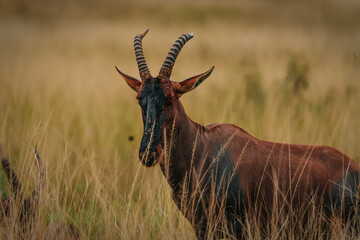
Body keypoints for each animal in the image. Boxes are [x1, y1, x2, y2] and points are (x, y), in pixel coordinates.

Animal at [116, 30, 360, 238]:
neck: (202, 149)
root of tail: (354, 168)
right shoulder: (201, 226)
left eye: (169, 97)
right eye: (140, 98)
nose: (148, 153)